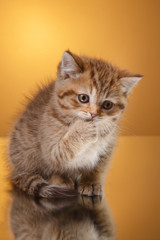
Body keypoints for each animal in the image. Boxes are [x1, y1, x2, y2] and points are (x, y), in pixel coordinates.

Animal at [8, 50, 142, 197]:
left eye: (107, 105)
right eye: (83, 98)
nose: (93, 114)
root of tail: (16, 169)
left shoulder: (108, 146)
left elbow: (98, 166)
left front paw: (91, 181)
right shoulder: (49, 146)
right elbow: (60, 154)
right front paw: (82, 129)